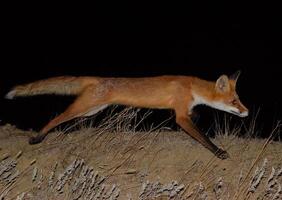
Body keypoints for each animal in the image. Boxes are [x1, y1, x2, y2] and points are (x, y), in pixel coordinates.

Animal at [4, 71, 248, 159]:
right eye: (234, 101)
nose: (247, 111)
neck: (191, 87)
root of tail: (98, 79)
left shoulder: (185, 111)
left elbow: (196, 119)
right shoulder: (180, 115)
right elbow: (203, 137)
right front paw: (218, 151)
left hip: (91, 110)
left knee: (69, 120)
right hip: (83, 107)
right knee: (56, 118)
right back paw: (37, 137)